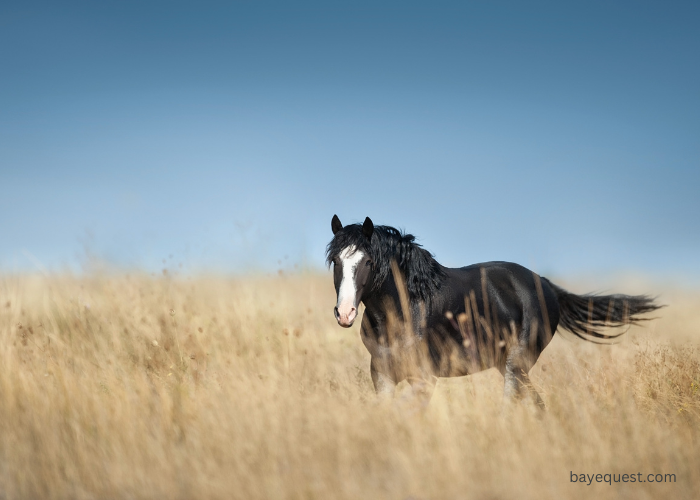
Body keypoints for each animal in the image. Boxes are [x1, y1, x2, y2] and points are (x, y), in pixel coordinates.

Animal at [326, 215, 660, 406]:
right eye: (336, 261)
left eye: (368, 262)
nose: (345, 313)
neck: (404, 309)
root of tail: (545, 285)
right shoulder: (382, 374)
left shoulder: (424, 377)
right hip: (509, 366)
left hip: (516, 364)